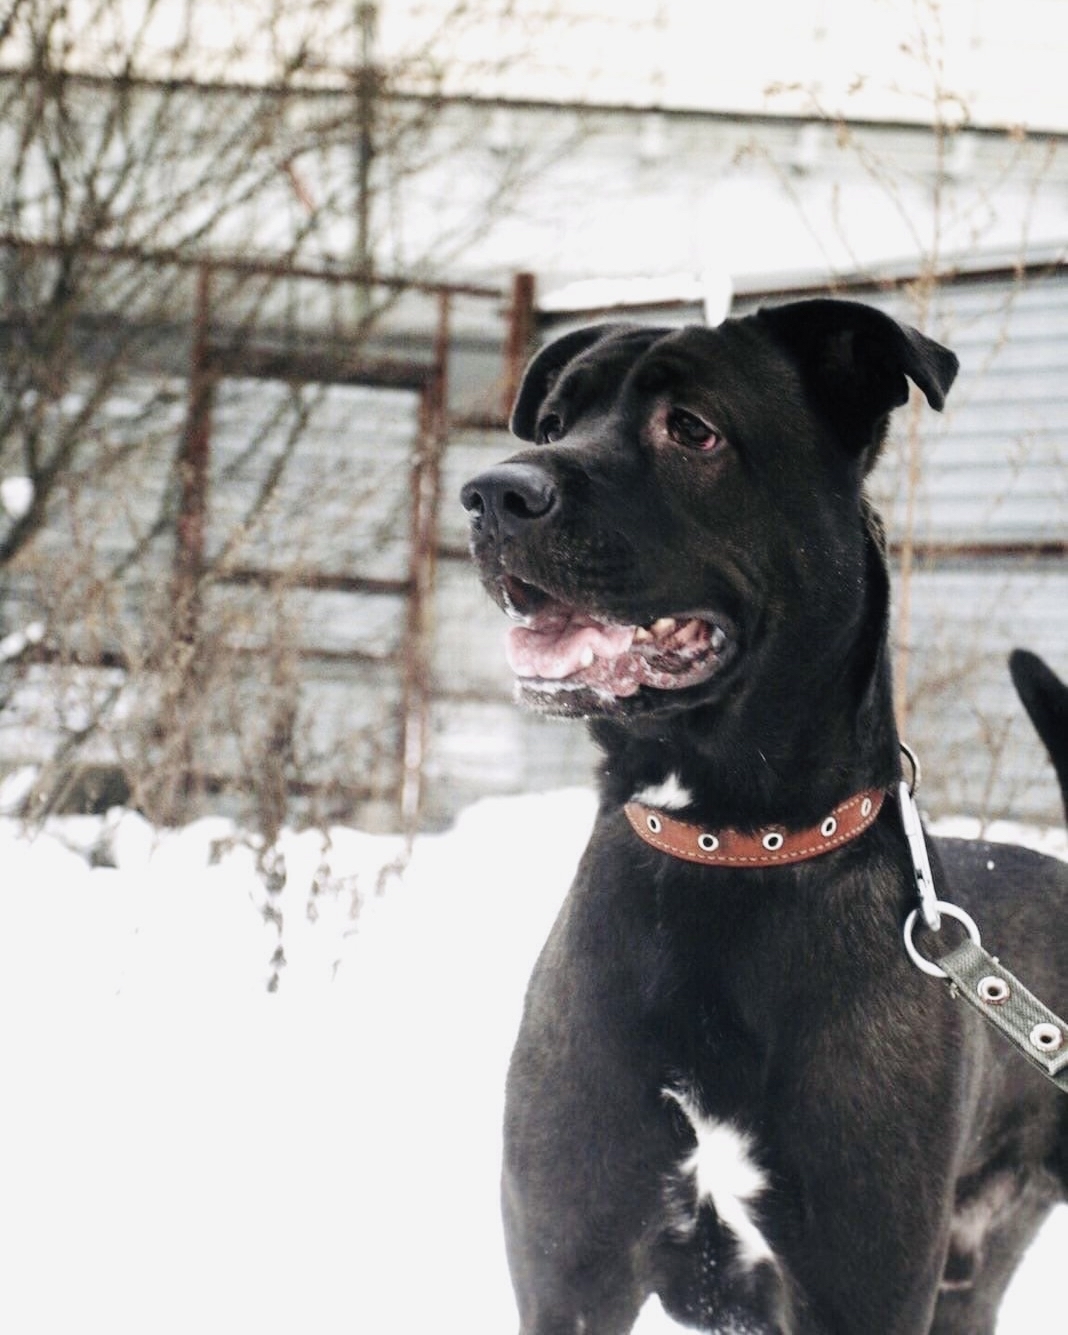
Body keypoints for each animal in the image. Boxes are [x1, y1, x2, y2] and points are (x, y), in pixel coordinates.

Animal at [461, 303, 1068, 1335]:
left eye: (692, 429)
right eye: (552, 425)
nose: (493, 493)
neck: (722, 846)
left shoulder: (859, 1286)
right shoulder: (569, 1271)